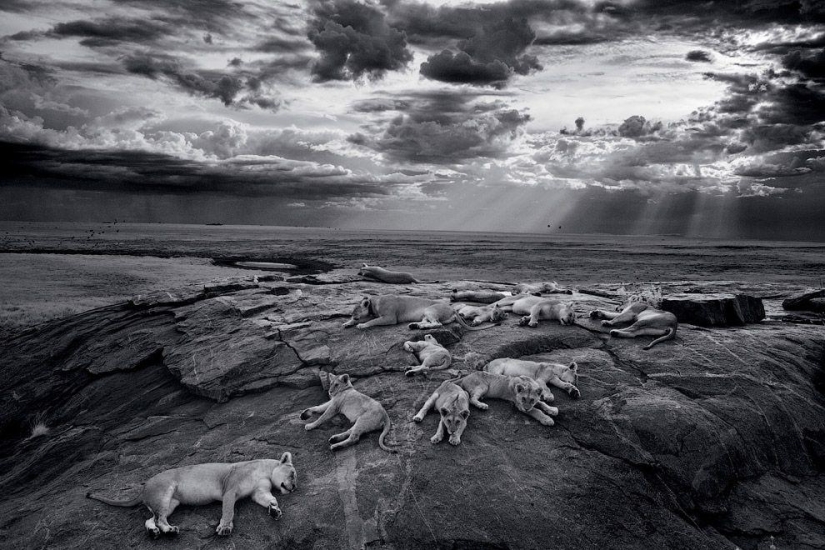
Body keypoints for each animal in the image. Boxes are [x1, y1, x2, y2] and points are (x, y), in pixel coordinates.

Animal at [86, 453, 297, 537]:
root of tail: (143, 488)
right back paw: (170, 531)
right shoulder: (230, 489)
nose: (294, 488)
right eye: (293, 474)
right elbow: (228, 511)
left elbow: (269, 499)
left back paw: (154, 532)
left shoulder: (258, 491)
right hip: (164, 491)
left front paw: (275, 510)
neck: (265, 470)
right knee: (160, 519)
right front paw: (225, 528)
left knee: (151, 519)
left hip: (170, 504)